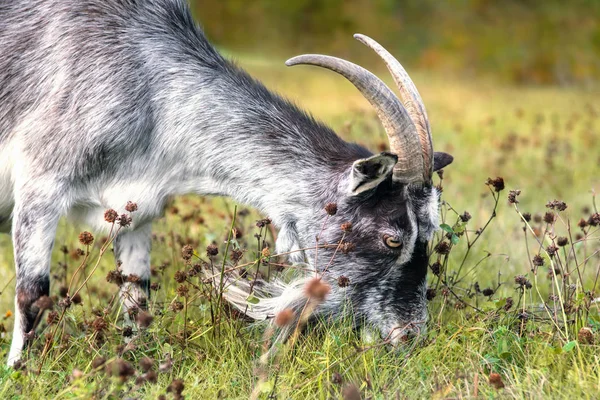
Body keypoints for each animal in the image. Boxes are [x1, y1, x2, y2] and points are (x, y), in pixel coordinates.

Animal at [0, 0, 450, 366]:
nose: (410, 336)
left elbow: (137, 299)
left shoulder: (135, 212)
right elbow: (33, 293)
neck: (148, 84)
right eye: (392, 238)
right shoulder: (41, 187)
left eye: (431, 233)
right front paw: (20, 373)